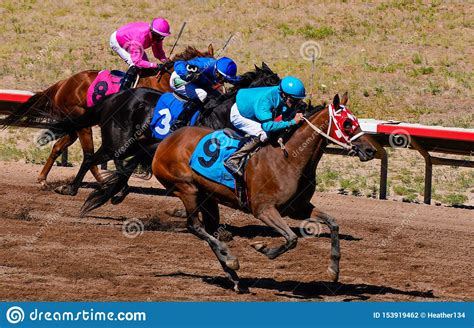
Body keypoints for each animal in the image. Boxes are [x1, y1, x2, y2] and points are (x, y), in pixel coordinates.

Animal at [1, 44, 215, 186]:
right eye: (212, 74)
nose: (216, 96)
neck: (164, 81)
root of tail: (64, 82)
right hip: (82, 124)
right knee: (89, 155)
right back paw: (100, 182)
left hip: (75, 125)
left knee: (59, 147)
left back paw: (43, 178)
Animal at [41, 62, 282, 210]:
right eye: (274, 83)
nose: (290, 104)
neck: (221, 113)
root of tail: (115, 97)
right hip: (116, 143)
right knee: (91, 158)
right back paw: (71, 188)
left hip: (130, 143)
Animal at [152, 92, 378, 292]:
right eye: (347, 123)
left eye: (356, 120)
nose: (371, 150)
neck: (289, 159)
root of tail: (166, 141)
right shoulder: (264, 210)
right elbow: (291, 239)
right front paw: (262, 248)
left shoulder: (298, 208)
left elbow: (333, 223)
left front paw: (333, 269)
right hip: (187, 189)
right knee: (194, 226)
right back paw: (231, 260)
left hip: (208, 197)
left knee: (210, 230)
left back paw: (235, 279)